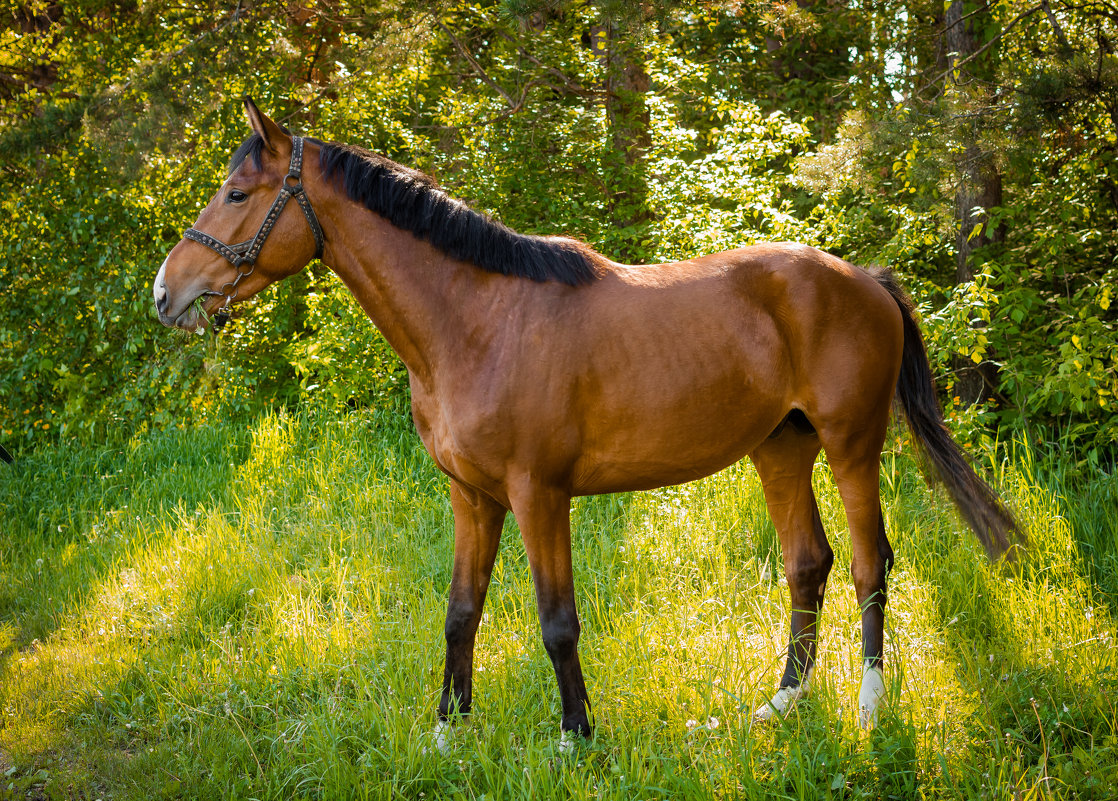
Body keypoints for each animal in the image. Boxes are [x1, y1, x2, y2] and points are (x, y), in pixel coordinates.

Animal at [153, 98, 1019, 742]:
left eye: (237, 195)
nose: (167, 294)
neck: (476, 320)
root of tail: (865, 277)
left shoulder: (539, 495)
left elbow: (556, 620)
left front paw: (575, 733)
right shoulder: (473, 497)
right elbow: (460, 612)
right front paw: (448, 730)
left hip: (851, 445)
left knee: (874, 563)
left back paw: (871, 710)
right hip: (780, 450)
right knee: (809, 564)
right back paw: (781, 704)